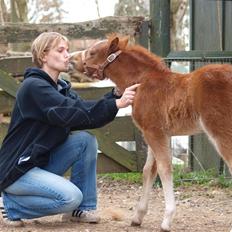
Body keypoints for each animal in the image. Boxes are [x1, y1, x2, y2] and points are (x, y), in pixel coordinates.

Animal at [69, 34, 232, 232]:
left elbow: (164, 168)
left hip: (221, 131)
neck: (143, 81)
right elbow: (149, 170)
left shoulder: (153, 132)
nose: (71, 59)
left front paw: (167, 220)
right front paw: (138, 216)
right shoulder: (158, 133)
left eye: (92, 52)